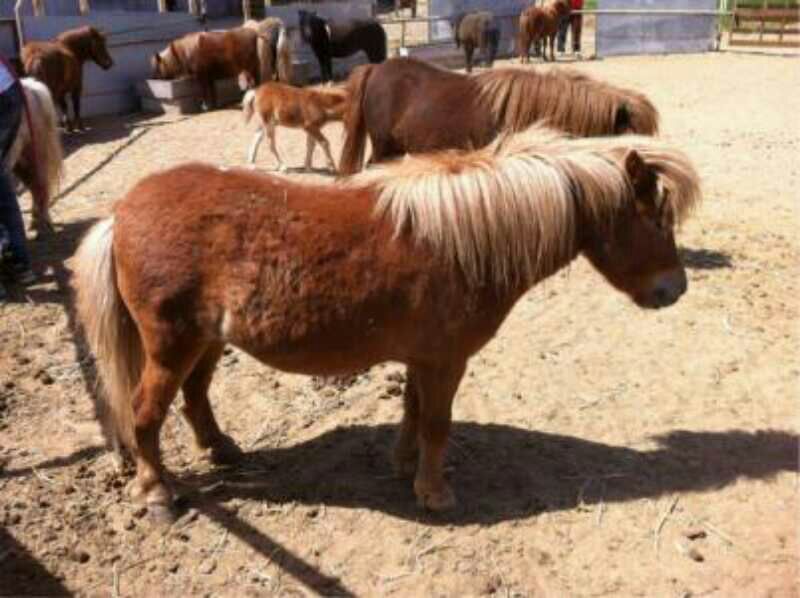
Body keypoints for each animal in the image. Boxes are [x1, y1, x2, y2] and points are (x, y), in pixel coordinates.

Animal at [4, 78, 64, 238]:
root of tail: (32, 85)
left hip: (35, 155)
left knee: (40, 186)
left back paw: (44, 226)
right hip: (20, 161)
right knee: (34, 187)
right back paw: (35, 222)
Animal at [73, 124, 701, 521]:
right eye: (657, 219)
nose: (675, 290)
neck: (463, 240)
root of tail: (122, 212)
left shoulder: (423, 358)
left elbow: (414, 412)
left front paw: (405, 469)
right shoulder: (446, 360)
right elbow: (437, 423)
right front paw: (435, 492)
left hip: (204, 343)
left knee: (195, 395)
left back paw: (222, 449)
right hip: (170, 344)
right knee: (145, 413)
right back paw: (156, 493)